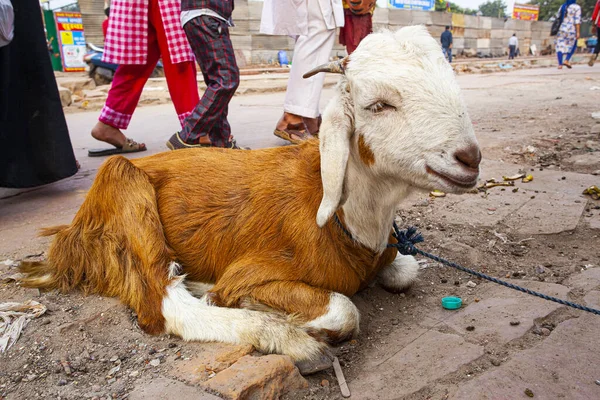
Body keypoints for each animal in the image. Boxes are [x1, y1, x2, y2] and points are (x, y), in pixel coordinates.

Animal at [19, 26, 482, 360]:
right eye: (379, 105)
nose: (470, 158)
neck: (341, 215)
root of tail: (68, 235)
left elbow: (407, 269)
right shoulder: (255, 269)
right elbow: (344, 309)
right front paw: (255, 306)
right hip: (123, 191)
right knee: (162, 304)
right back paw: (278, 334)